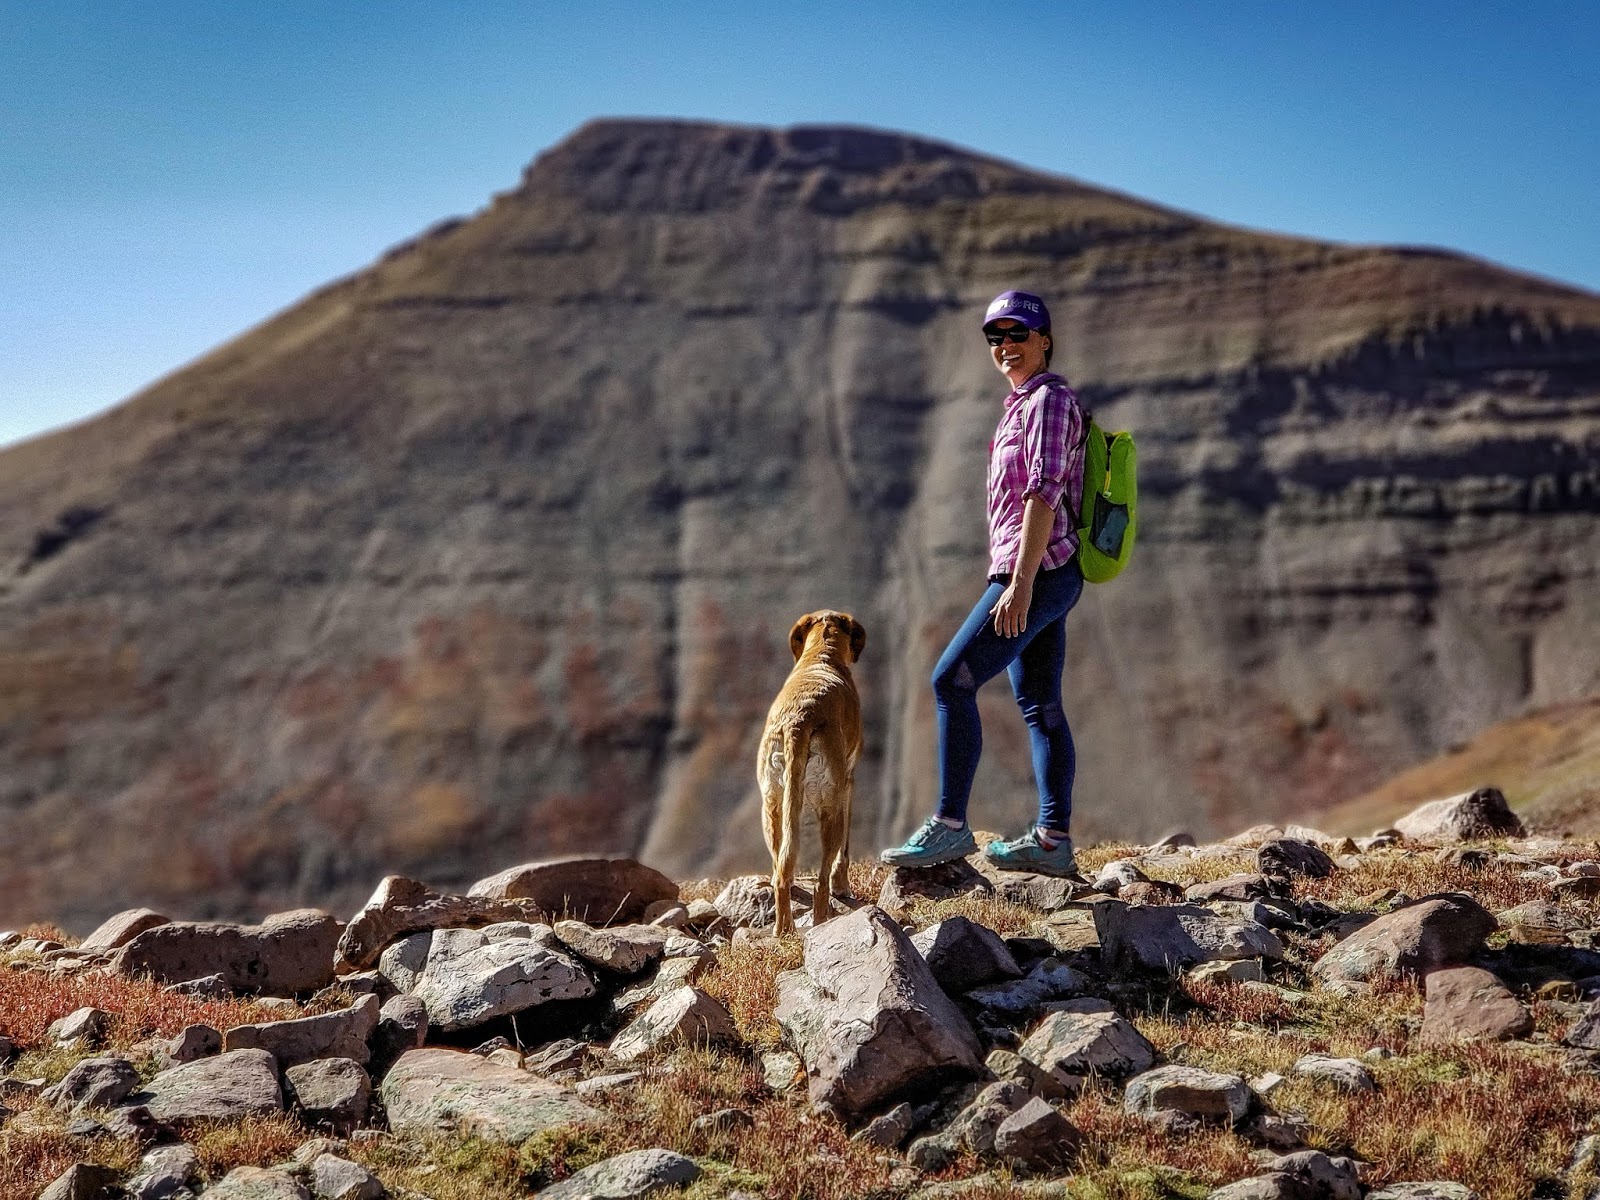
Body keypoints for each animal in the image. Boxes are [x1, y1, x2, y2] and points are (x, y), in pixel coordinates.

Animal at [758, 611, 870, 940]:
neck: (821, 654)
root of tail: (797, 722)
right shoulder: (848, 783)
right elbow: (844, 851)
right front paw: (842, 887)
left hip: (772, 805)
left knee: (781, 867)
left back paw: (783, 929)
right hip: (829, 805)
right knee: (821, 876)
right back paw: (822, 920)